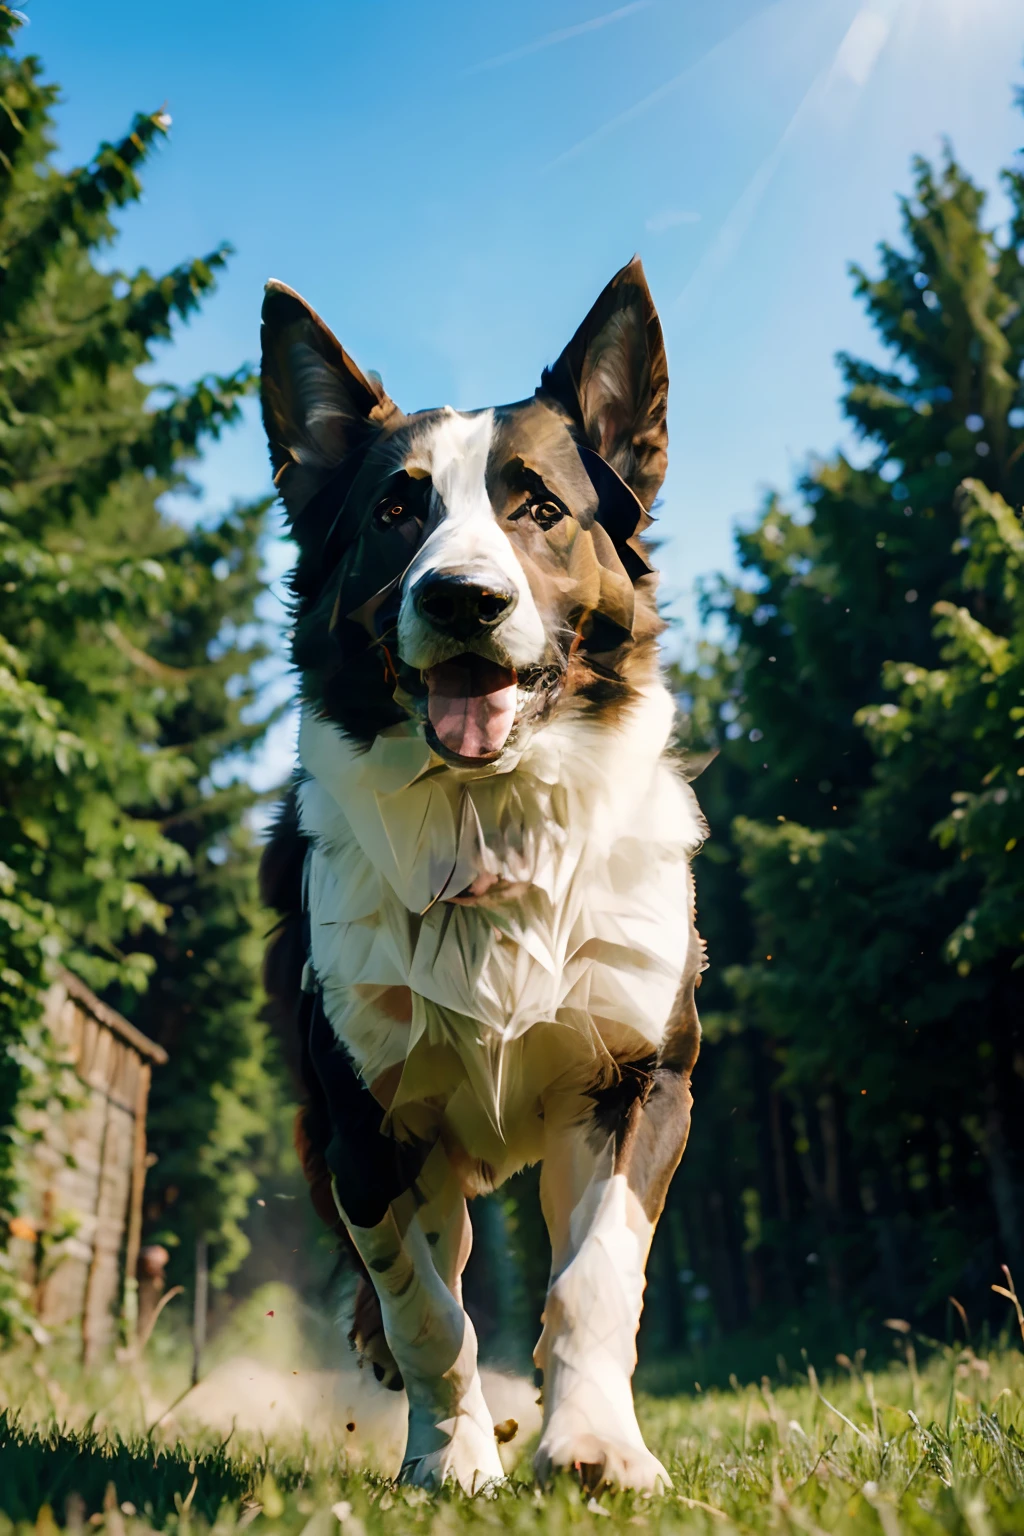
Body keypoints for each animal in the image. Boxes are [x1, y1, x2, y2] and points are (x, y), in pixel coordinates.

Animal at [257, 258, 706, 1492]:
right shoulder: (368, 1130)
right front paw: (451, 1461)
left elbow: (595, 1280)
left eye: (540, 508)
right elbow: (427, 1313)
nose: (463, 598)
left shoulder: (637, 1082)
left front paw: (595, 1446)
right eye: (393, 512)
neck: (491, 821)